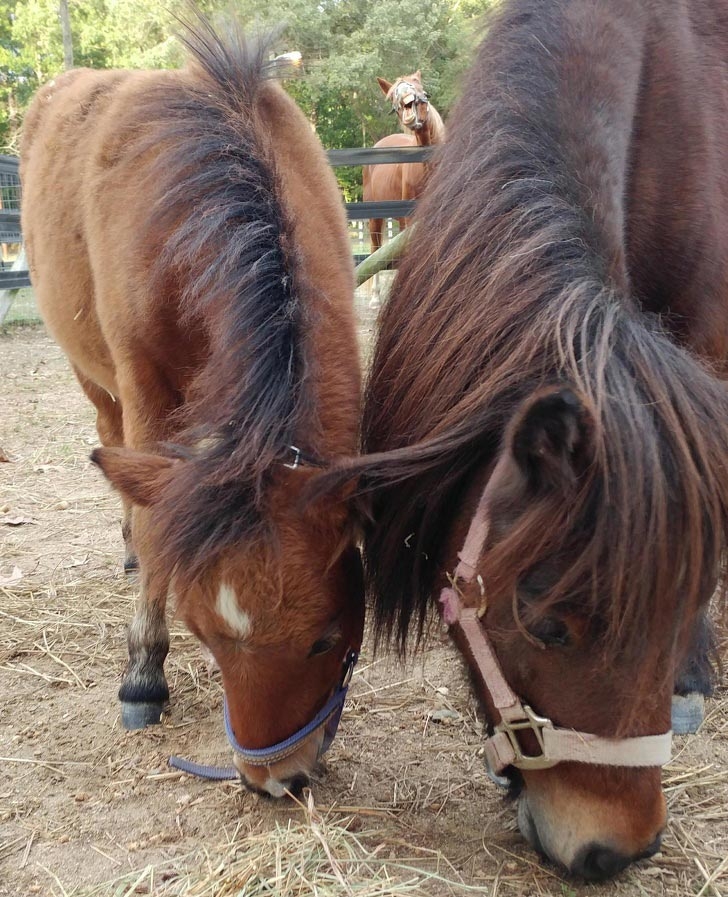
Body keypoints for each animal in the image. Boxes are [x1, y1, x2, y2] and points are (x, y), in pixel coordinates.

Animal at [20, 14, 364, 800]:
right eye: (203, 634)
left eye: (327, 636)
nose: (273, 779)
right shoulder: (145, 390)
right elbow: (155, 525)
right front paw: (143, 673)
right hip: (96, 380)